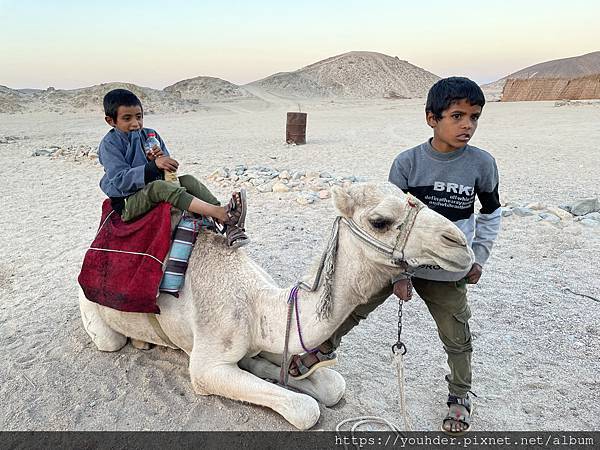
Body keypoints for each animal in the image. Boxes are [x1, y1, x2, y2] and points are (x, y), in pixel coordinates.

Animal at [79, 182, 474, 428]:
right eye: (380, 221)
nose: (459, 242)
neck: (257, 304)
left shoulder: (271, 337)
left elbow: (332, 386)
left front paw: (276, 371)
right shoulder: (206, 367)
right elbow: (306, 409)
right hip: (93, 311)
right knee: (110, 340)